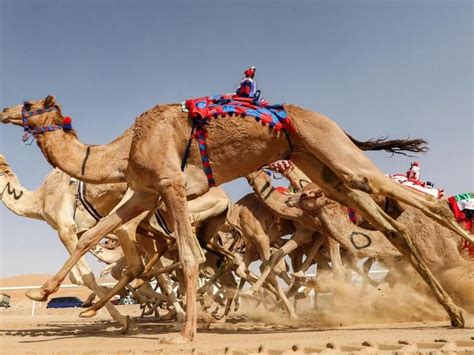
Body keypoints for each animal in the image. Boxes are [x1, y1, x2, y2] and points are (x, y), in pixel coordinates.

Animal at [2, 94, 470, 342]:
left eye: (27, 104)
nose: (4, 111)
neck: (122, 149)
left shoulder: (170, 186)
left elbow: (188, 257)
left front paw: (184, 334)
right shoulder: (143, 193)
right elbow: (90, 237)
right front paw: (42, 292)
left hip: (333, 150)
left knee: (415, 204)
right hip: (321, 169)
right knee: (392, 227)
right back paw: (452, 312)